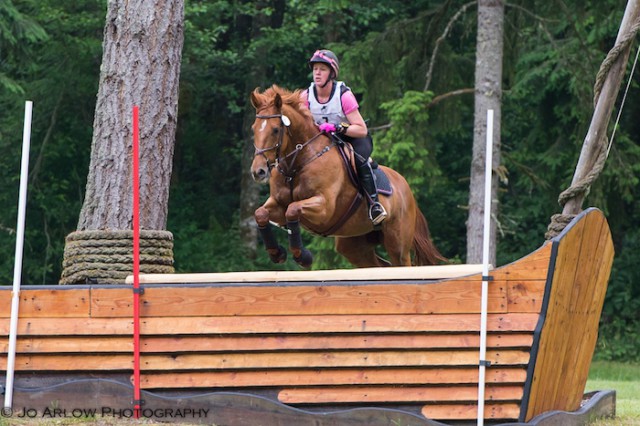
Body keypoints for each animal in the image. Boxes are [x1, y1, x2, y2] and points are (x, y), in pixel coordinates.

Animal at [250, 85, 444, 268]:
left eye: (276, 130)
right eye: (254, 129)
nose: (258, 171)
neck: (296, 165)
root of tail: (407, 189)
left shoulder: (324, 208)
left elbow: (293, 209)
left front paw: (302, 256)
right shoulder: (278, 203)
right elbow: (260, 213)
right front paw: (277, 253)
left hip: (397, 244)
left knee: (400, 262)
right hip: (354, 245)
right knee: (379, 265)